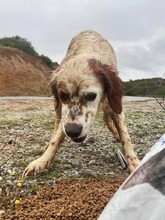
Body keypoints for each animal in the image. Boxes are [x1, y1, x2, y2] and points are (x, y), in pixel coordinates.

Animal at [22, 30, 139, 176]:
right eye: (63, 96)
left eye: (91, 96)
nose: (72, 131)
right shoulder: (66, 114)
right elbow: (57, 137)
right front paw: (42, 160)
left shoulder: (115, 102)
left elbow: (125, 136)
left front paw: (134, 161)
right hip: (57, 107)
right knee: (57, 122)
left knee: (107, 117)